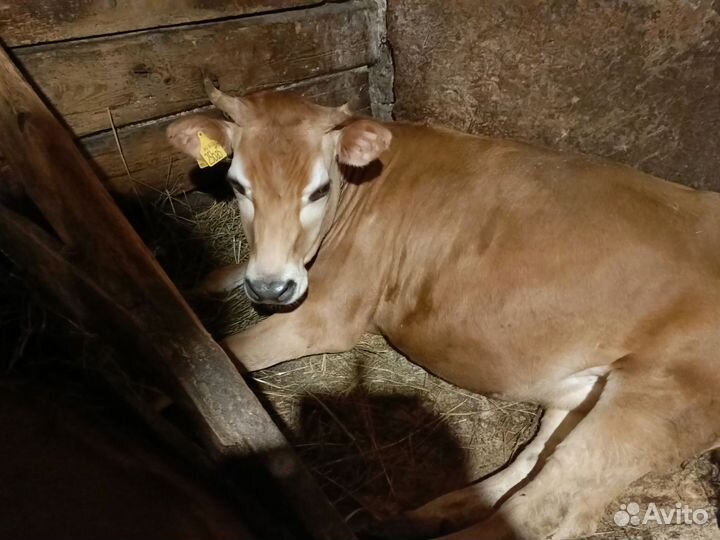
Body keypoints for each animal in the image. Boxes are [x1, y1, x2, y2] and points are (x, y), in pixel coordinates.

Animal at [167, 78, 720, 540]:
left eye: (319, 189)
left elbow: (226, 353)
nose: (272, 287)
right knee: (534, 465)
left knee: (548, 510)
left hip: (655, 403)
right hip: (584, 393)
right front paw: (204, 283)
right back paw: (431, 511)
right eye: (238, 185)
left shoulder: (328, 315)